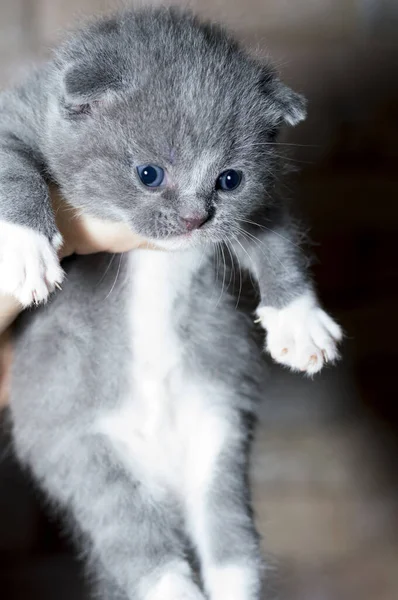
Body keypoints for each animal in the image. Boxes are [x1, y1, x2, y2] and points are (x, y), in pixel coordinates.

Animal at [0, 5, 342, 600]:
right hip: (78, 450)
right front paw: (23, 244)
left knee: (225, 529)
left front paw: (298, 321)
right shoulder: (16, 112)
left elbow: (275, 240)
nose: (194, 219)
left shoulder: (261, 203)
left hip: (218, 433)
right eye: (149, 174)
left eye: (229, 180)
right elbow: (13, 162)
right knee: (132, 534)